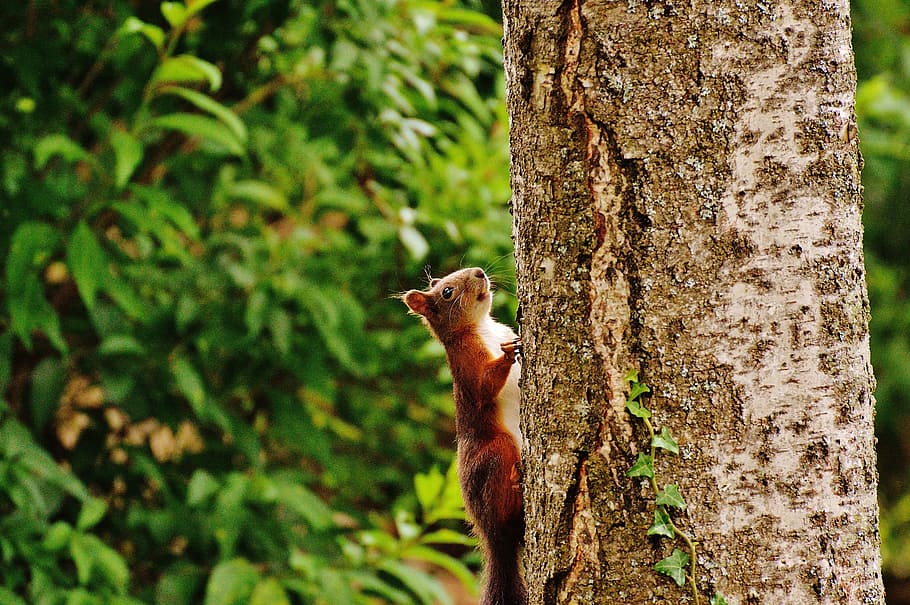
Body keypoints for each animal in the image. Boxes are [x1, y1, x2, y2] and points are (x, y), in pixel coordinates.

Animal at [403, 267, 526, 605]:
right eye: (447, 292)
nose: (480, 272)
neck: (484, 327)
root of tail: (494, 541)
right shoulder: (466, 359)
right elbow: (484, 386)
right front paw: (508, 354)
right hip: (496, 452)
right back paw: (516, 483)